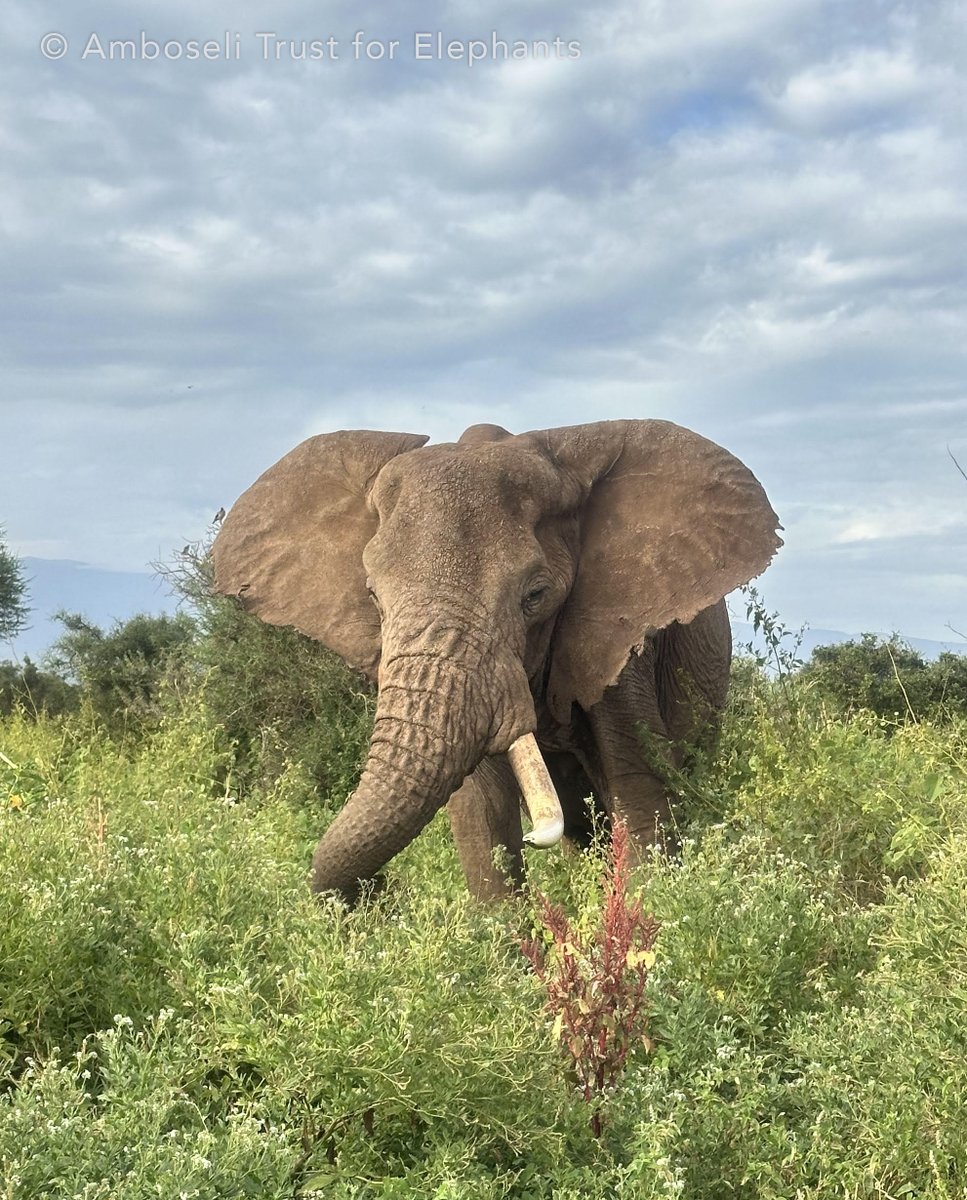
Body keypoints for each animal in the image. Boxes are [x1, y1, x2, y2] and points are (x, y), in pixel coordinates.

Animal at [212, 419, 781, 904]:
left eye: (536, 595)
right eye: (373, 595)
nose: (382, 894)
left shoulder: (617, 636)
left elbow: (641, 795)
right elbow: (481, 816)